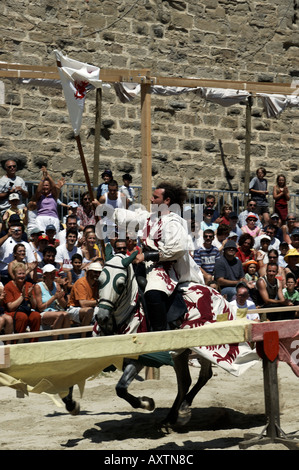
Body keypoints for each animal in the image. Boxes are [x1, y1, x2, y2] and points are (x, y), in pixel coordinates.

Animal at [93, 252, 258, 428]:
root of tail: (216, 293)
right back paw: (171, 417)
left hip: (204, 346)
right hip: (181, 353)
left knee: (202, 376)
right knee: (185, 382)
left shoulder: (139, 359)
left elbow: (121, 388)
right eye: (99, 282)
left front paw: (147, 403)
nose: (102, 317)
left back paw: (183, 409)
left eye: (121, 284)